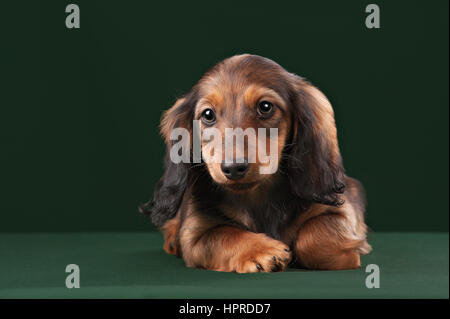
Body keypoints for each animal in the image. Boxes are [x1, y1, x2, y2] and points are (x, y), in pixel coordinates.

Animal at [142, 54, 372, 272]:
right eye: (207, 114)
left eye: (265, 107)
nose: (233, 168)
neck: (257, 196)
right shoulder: (194, 234)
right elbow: (225, 234)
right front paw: (262, 251)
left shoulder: (341, 210)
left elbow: (312, 236)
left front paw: (349, 251)